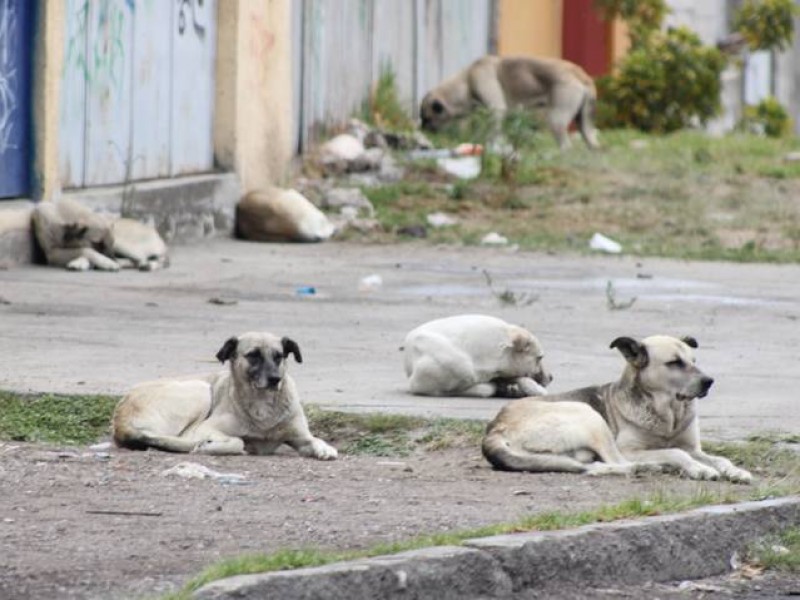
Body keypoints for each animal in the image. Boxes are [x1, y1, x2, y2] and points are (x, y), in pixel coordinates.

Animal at [32, 198, 168, 270]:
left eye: (110, 242)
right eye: (97, 243)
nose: (112, 258)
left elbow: (85, 250)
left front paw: (107, 263)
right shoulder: (52, 253)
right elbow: (86, 250)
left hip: (123, 245)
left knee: (146, 260)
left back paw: (148, 265)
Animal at [111, 332, 334, 460]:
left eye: (279, 356)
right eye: (253, 355)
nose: (275, 379)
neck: (262, 404)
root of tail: (119, 420)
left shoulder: (301, 437)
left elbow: (317, 441)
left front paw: (324, 449)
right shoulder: (206, 428)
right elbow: (238, 441)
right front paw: (210, 447)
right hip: (199, 389)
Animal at [418, 54, 600, 150]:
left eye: (427, 118)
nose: (422, 129)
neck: (465, 82)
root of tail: (580, 74)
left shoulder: (496, 109)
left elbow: (494, 132)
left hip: (556, 119)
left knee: (565, 144)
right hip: (584, 124)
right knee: (590, 140)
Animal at [484, 336, 752, 486]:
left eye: (694, 361)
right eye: (674, 363)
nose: (709, 382)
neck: (668, 415)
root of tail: (496, 427)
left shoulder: (693, 448)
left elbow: (719, 458)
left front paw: (735, 471)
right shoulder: (632, 449)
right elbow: (676, 453)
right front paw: (700, 469)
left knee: (596, 466)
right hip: (588, 415)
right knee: (617, 462)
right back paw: (653, 467)